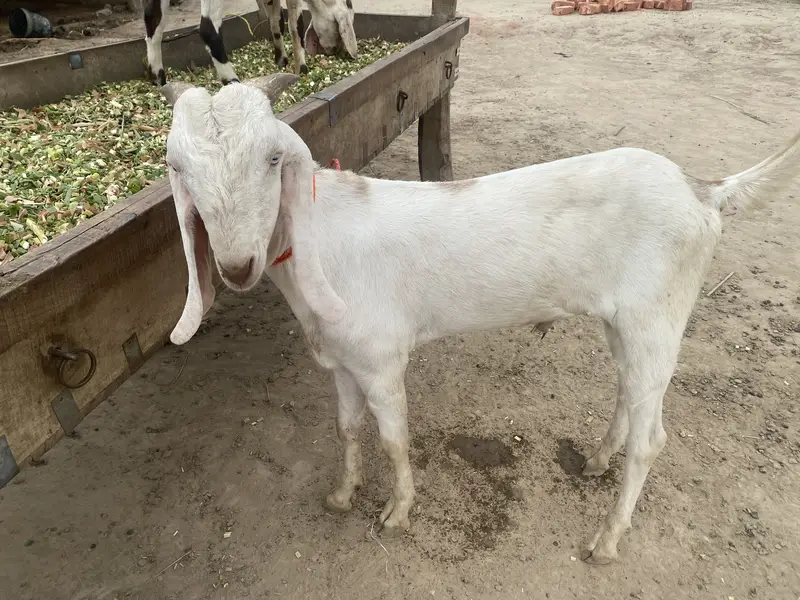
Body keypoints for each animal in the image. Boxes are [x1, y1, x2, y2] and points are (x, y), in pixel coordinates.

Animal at [143, 0, 357, 86]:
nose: (332, 50)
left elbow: (276, 18)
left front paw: (281, 60)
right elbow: (296, 22)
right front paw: (302, 69)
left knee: (152, 19)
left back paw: (158, 78)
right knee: (207, 27)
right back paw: (232, 81)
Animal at [159, 75, 800, 564]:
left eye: (272, 159)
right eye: (180, 169)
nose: (237, 266)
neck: (322, 241)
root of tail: (704, 191)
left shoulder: (382, 359)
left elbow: (393, 437)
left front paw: (397, 511)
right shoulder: (342, 361)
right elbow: (346, 429)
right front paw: (342, 495)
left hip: (658, 317)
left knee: (652, 438)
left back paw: (606, 540)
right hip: (624, 322)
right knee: (629, 389)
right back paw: (596, 461)